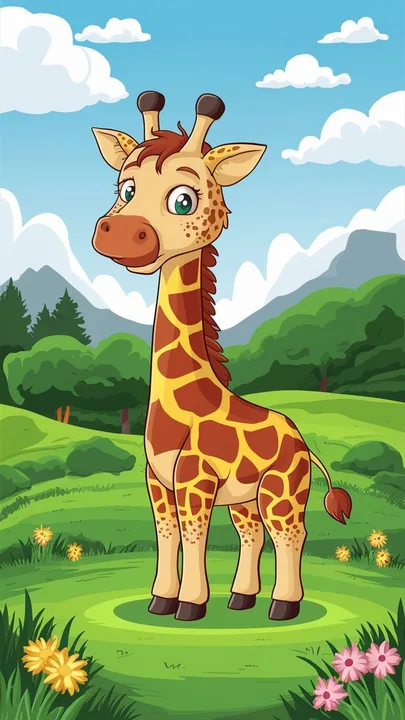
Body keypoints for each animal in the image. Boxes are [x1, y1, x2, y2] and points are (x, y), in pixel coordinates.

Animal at [91, 91, 352, 622]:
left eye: (183, 199)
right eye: (126, 188)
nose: (119, 232)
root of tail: (304, 442)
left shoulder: (195, 480)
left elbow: (195, 538)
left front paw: (189, 606)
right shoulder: (158, 480)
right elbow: (167, 536)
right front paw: (160, 601)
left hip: (282, 489)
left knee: (291, 533)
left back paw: (283, 606)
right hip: (246, 496)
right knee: (252, 533)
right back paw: (241, 598)